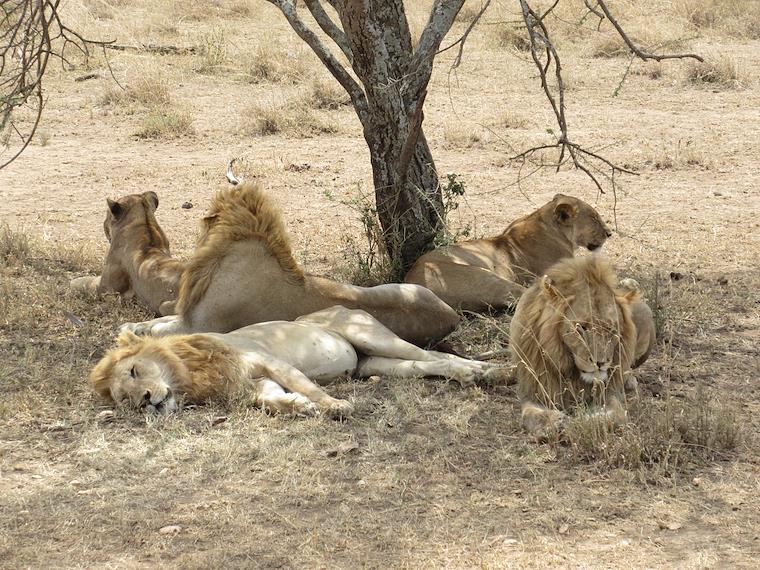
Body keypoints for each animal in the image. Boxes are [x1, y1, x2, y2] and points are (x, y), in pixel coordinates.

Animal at [92, 306, 507, 418]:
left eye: (135, 371)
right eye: (125, 400)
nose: (146, 402)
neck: (189, 374)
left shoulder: (269, 360)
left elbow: (307, 385)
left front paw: (335, 406)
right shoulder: (253, 386)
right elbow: (275, 401)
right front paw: (302, 407)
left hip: (369, 334)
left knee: (434, 354)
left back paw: (489, 372)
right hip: (375, 364)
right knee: (428, 364)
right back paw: (478, 376)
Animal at [120, 183, 458, 346]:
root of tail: (452, 316)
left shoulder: (198, 326)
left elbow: (158, 331)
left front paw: (133, 332)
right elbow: (155, 322)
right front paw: (133, 325)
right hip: (399, 286)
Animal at [509, 255, 644, 435]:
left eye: (611, 329)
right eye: (582, 327)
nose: (601, 363)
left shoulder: (610, 393)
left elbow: (617, 416)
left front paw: (584, 421)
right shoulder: (534, 391)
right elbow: (531, 414)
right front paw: (554, 423)